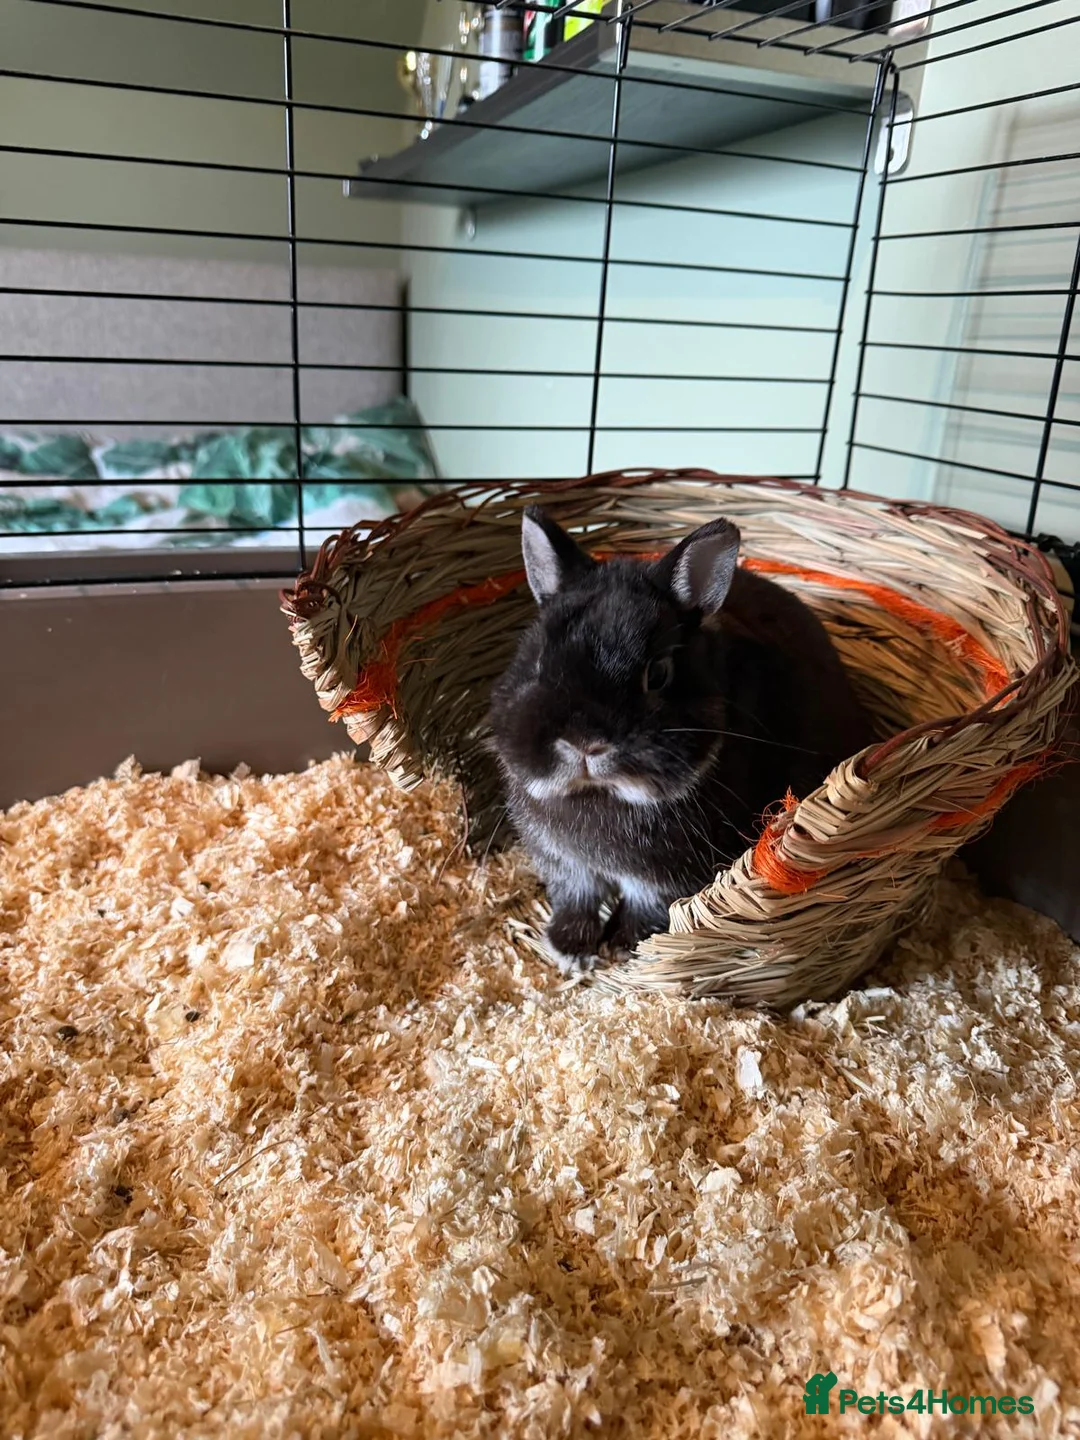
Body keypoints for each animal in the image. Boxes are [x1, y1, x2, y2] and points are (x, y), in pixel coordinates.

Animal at [487, 506, 875, 974]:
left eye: (658, 674)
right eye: (540, 663)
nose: (585, 744)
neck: (602, 794)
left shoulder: (661, 881)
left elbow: (645, 908)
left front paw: (622, 949)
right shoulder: (566, 865)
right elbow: (576, 899)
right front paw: (571, 950)